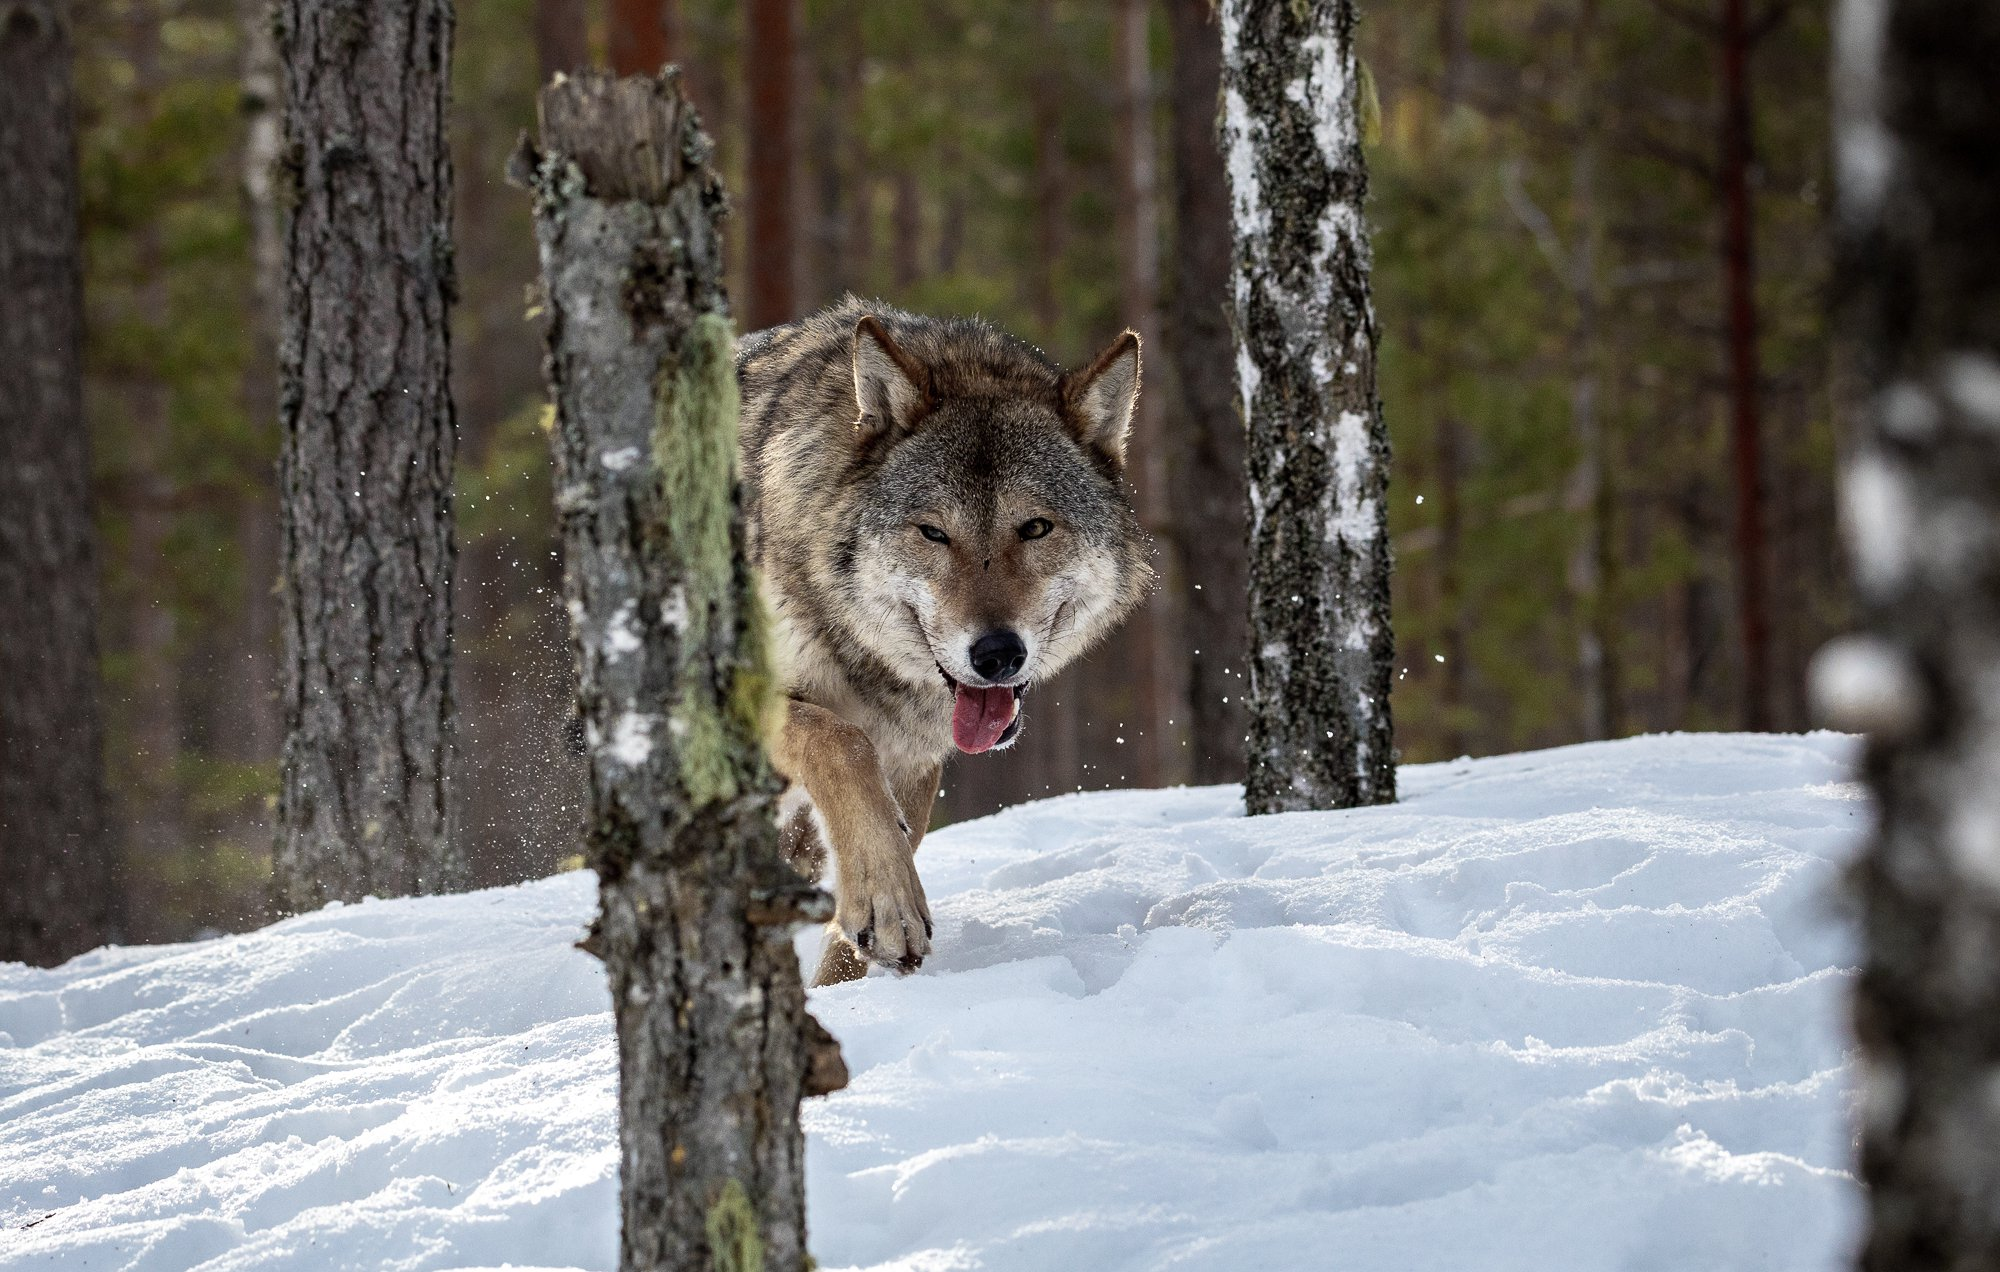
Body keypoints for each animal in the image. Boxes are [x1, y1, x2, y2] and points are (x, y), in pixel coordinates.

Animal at [740, 298, 1152, 984]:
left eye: (1034, 528)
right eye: (933, 533)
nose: (997, 654)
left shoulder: (915, 755)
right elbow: (840, 741)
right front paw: (888, 905)